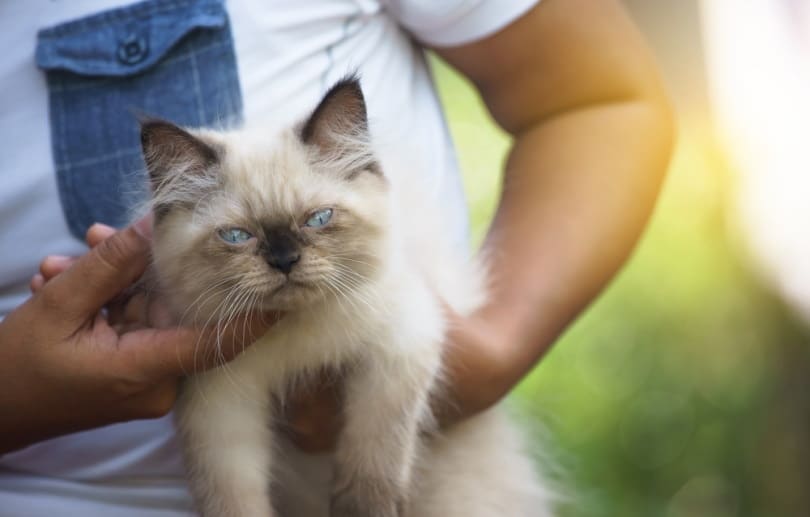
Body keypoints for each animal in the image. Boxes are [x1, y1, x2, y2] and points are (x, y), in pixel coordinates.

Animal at [140, 76, 556, 516]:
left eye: (319, 218)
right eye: (237, 236)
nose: (284, 260)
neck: (298, 344)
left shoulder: (398, 346)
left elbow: (375, 445)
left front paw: (365, 506)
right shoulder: (221, 406)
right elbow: (233, 497)